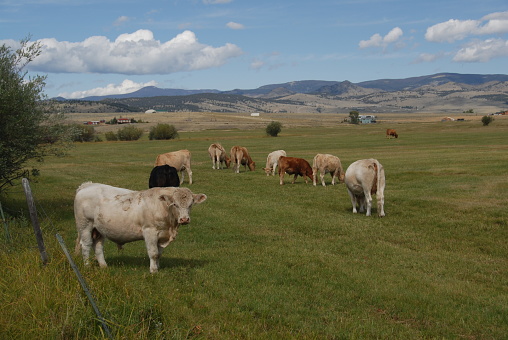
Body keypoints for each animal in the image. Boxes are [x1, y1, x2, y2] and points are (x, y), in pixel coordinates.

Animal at [73, 182, 206, 272]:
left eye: (191, 204)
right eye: (175, 204)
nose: (184, 219)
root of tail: (88, 185)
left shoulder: (162, 235)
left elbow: (159, 254)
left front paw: (157, 267)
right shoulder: (150, 231)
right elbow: (153, 253)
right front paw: (153, 271)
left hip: (99, 230)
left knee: (98, 247)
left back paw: (104, 266)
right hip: (85, 226)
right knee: (86, 245)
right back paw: (87, 266)